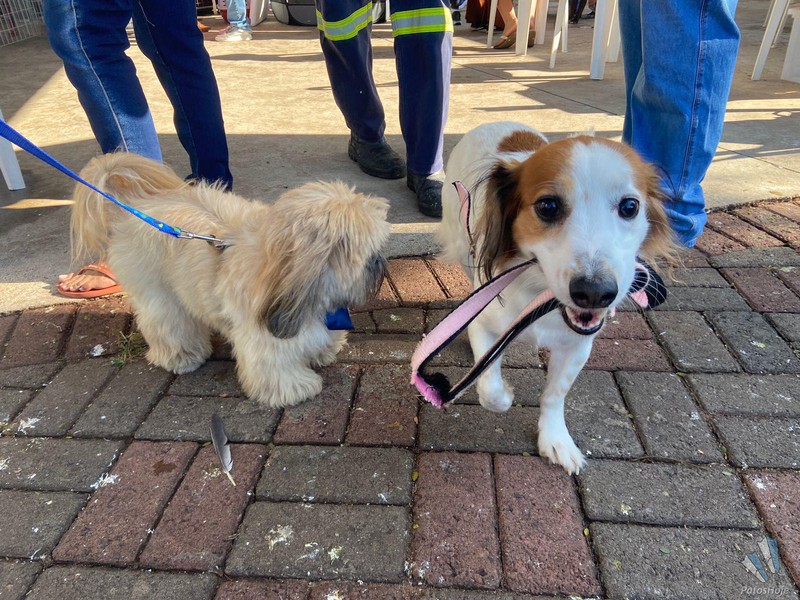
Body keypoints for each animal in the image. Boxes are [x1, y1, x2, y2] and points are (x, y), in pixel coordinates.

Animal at [71, 153, 390, 407]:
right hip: (159, 294)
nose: (379, 260)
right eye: (366, 251)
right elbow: (274, 367)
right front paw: (295, 388)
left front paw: (324, 351)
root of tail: (137, 204)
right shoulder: (263, 337)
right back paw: (182, 356)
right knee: (168, 324)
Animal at [438, 122, 676, 474]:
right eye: (548, 206)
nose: (595, 293)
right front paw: (505, 394)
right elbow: (490, 389)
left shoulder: (578, 345)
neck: (540, 296)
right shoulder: (485, 323)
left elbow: (554, 395)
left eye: (630, 207)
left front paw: (555, 439)